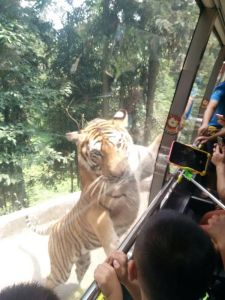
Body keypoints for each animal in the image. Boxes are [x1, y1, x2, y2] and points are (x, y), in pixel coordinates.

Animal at [25, 109, 161, 288]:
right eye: (97, 154)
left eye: (119, 144)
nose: (119, 174)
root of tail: (54, 225)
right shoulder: (95, 208)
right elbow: (107, 232)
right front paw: (116, 254)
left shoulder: (146, 162)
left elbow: (157, 142)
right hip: (61, 269)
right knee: (49, 280)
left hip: (83, 260)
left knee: (79, 274)